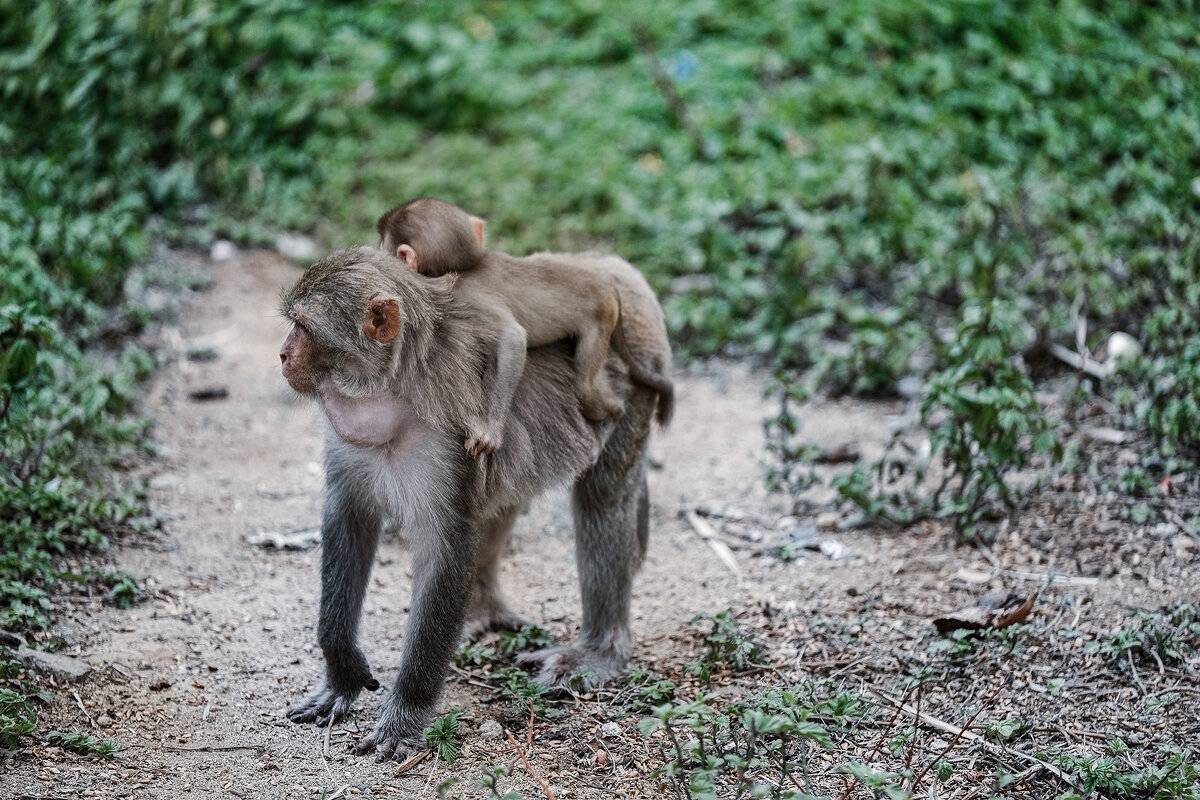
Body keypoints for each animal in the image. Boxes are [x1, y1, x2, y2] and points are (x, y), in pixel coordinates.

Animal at [280, 247, 676, 762]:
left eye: (304, 328)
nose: (282, 354)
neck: (391, 392)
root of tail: (612, 267)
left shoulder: (450, 440)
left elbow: (447, 548)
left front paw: (405, 714)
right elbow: (348, 522)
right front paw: (342, 671)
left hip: (637, 377)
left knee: (603, 494)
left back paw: (597, 650)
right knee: (502, 501)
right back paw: (481, 610)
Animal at [376, 196, 676, 453]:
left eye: (383, 243)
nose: (378, 248)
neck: (463, 269)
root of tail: (607, 286)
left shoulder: (466, 297)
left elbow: (512, 338)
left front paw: (491, 430)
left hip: (601, 319)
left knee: (585, 389)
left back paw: (614, 412)